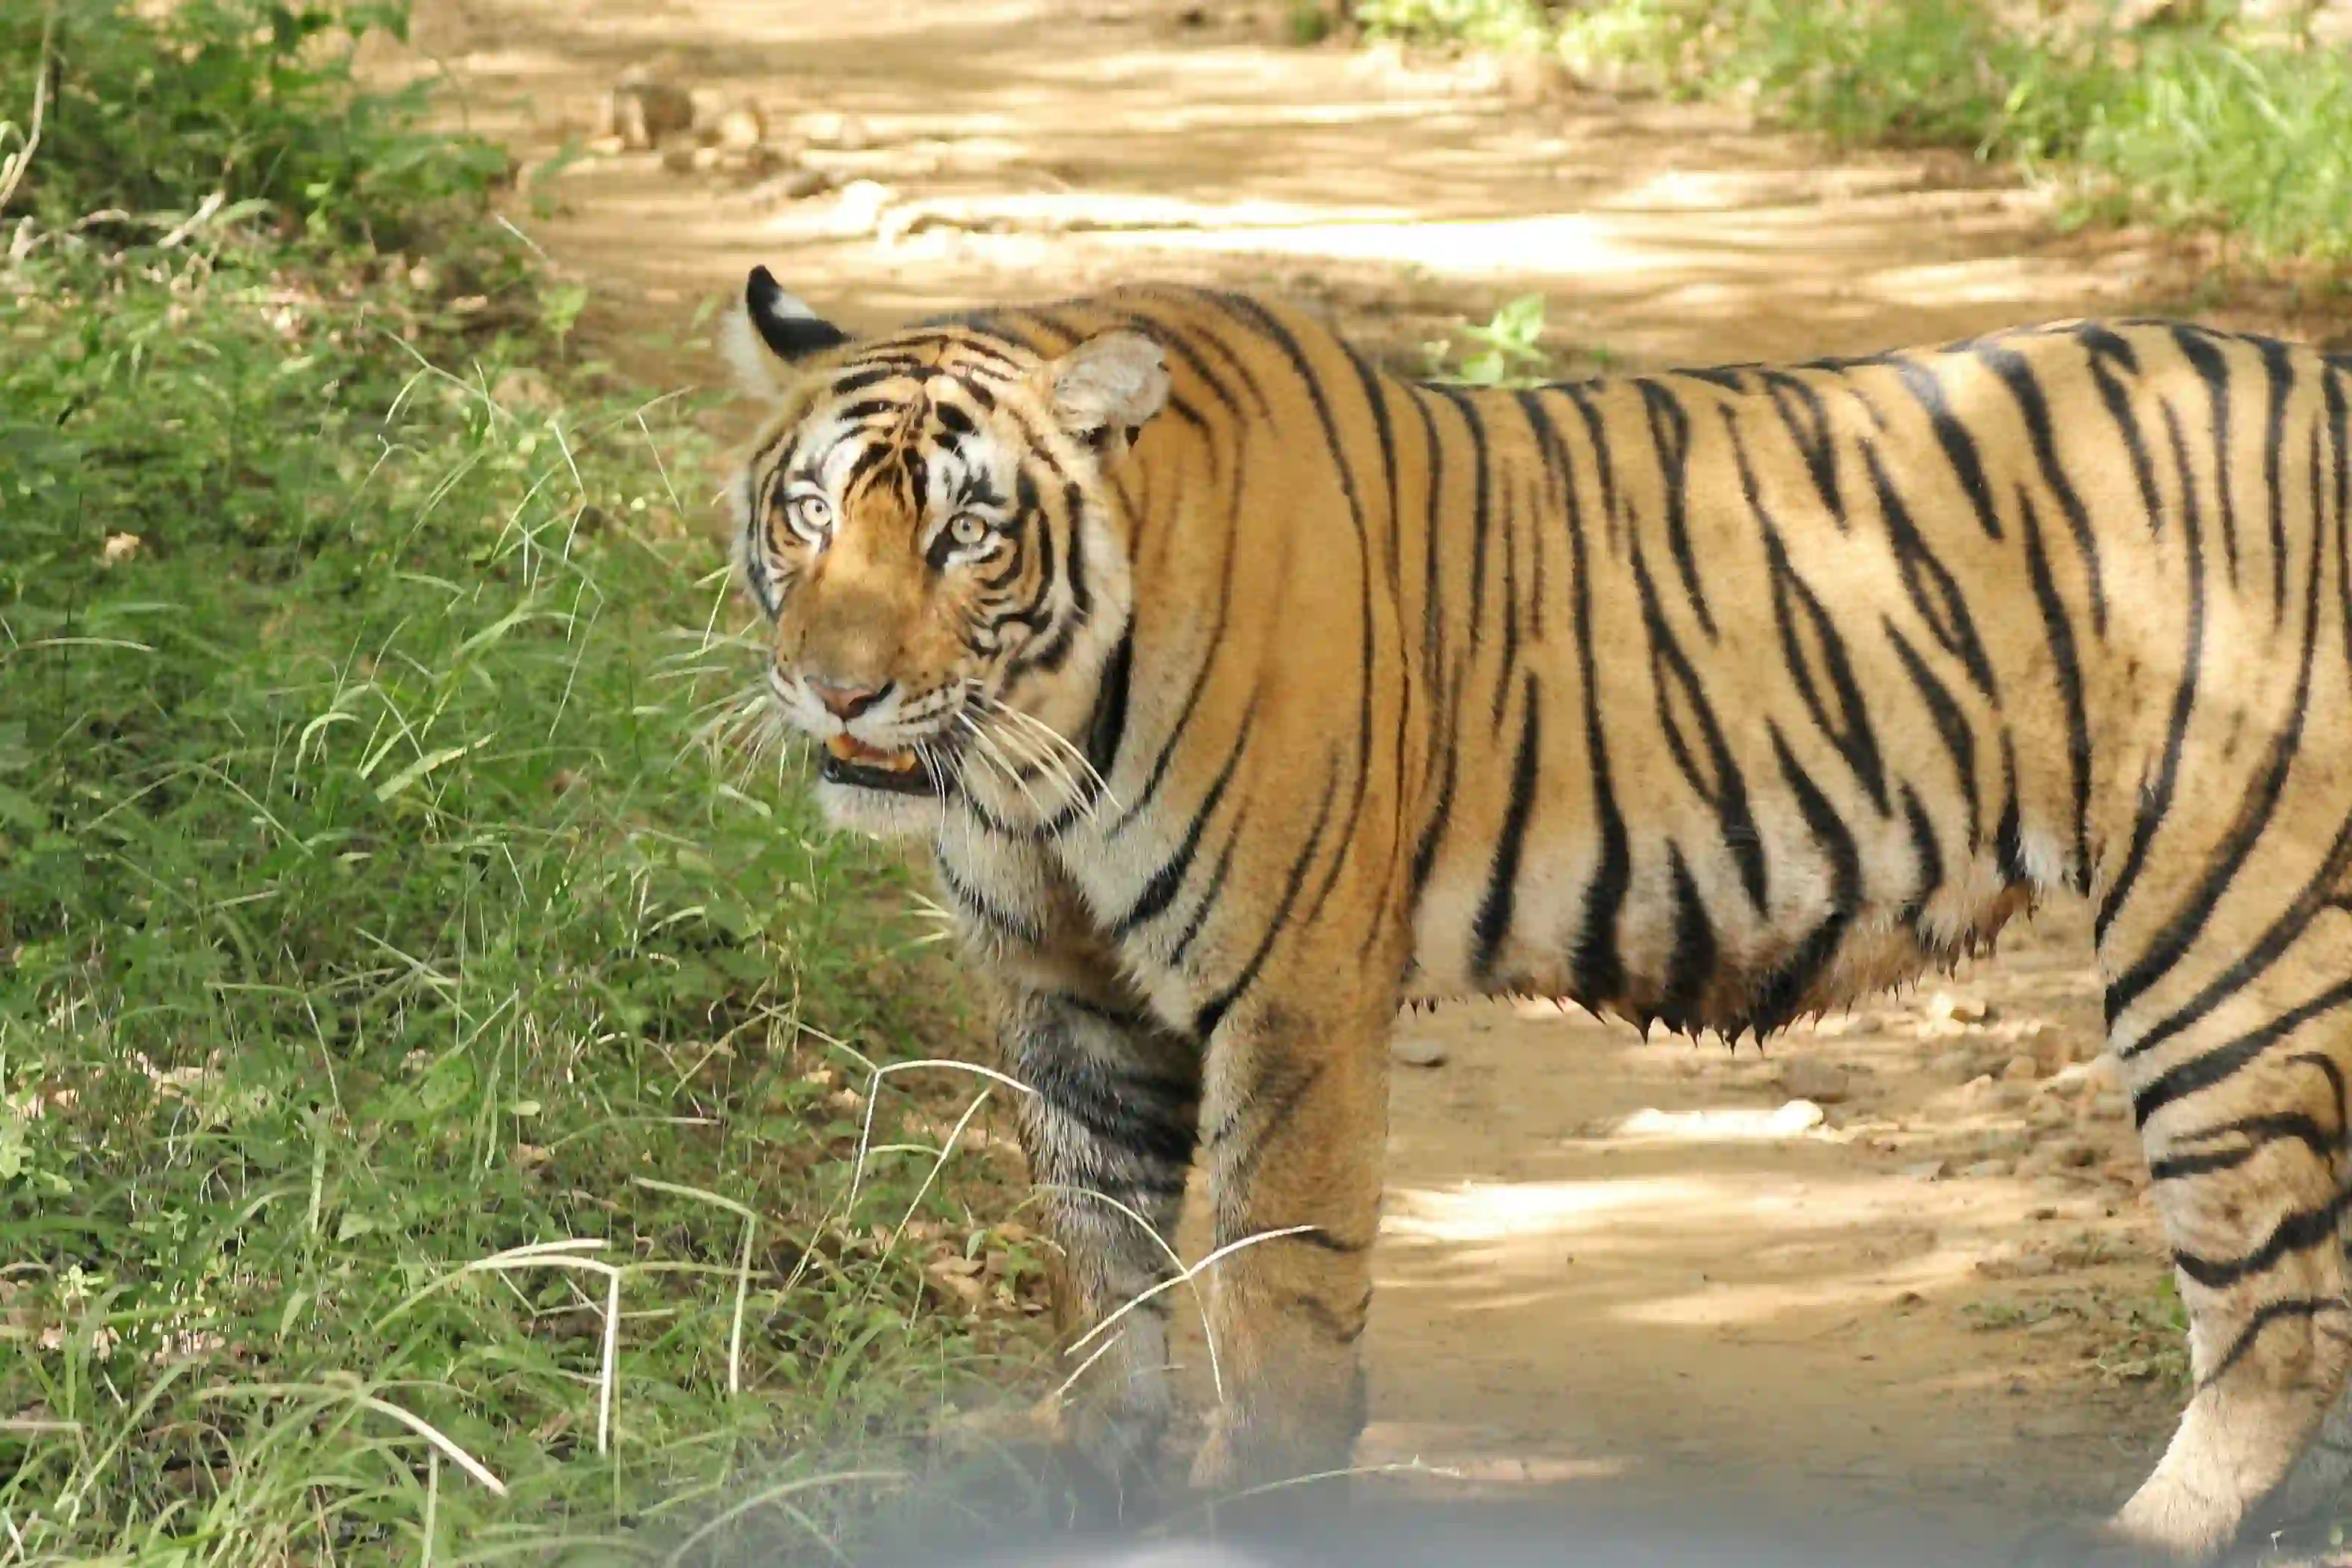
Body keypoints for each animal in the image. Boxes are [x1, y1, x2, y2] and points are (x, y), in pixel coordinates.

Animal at [710, 267, 2352, 1561]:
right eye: (809, 516)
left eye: (966, 536)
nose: (839, 693)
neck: (1031, 752)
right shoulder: (1069, 1000)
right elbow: (1098, 1257)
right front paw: (1094, 1477)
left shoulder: (1290, 987)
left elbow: (1276, 1283)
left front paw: (1257, 1511)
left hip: (2225, 944)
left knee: (2279, 1305)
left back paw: (2149, 1533)